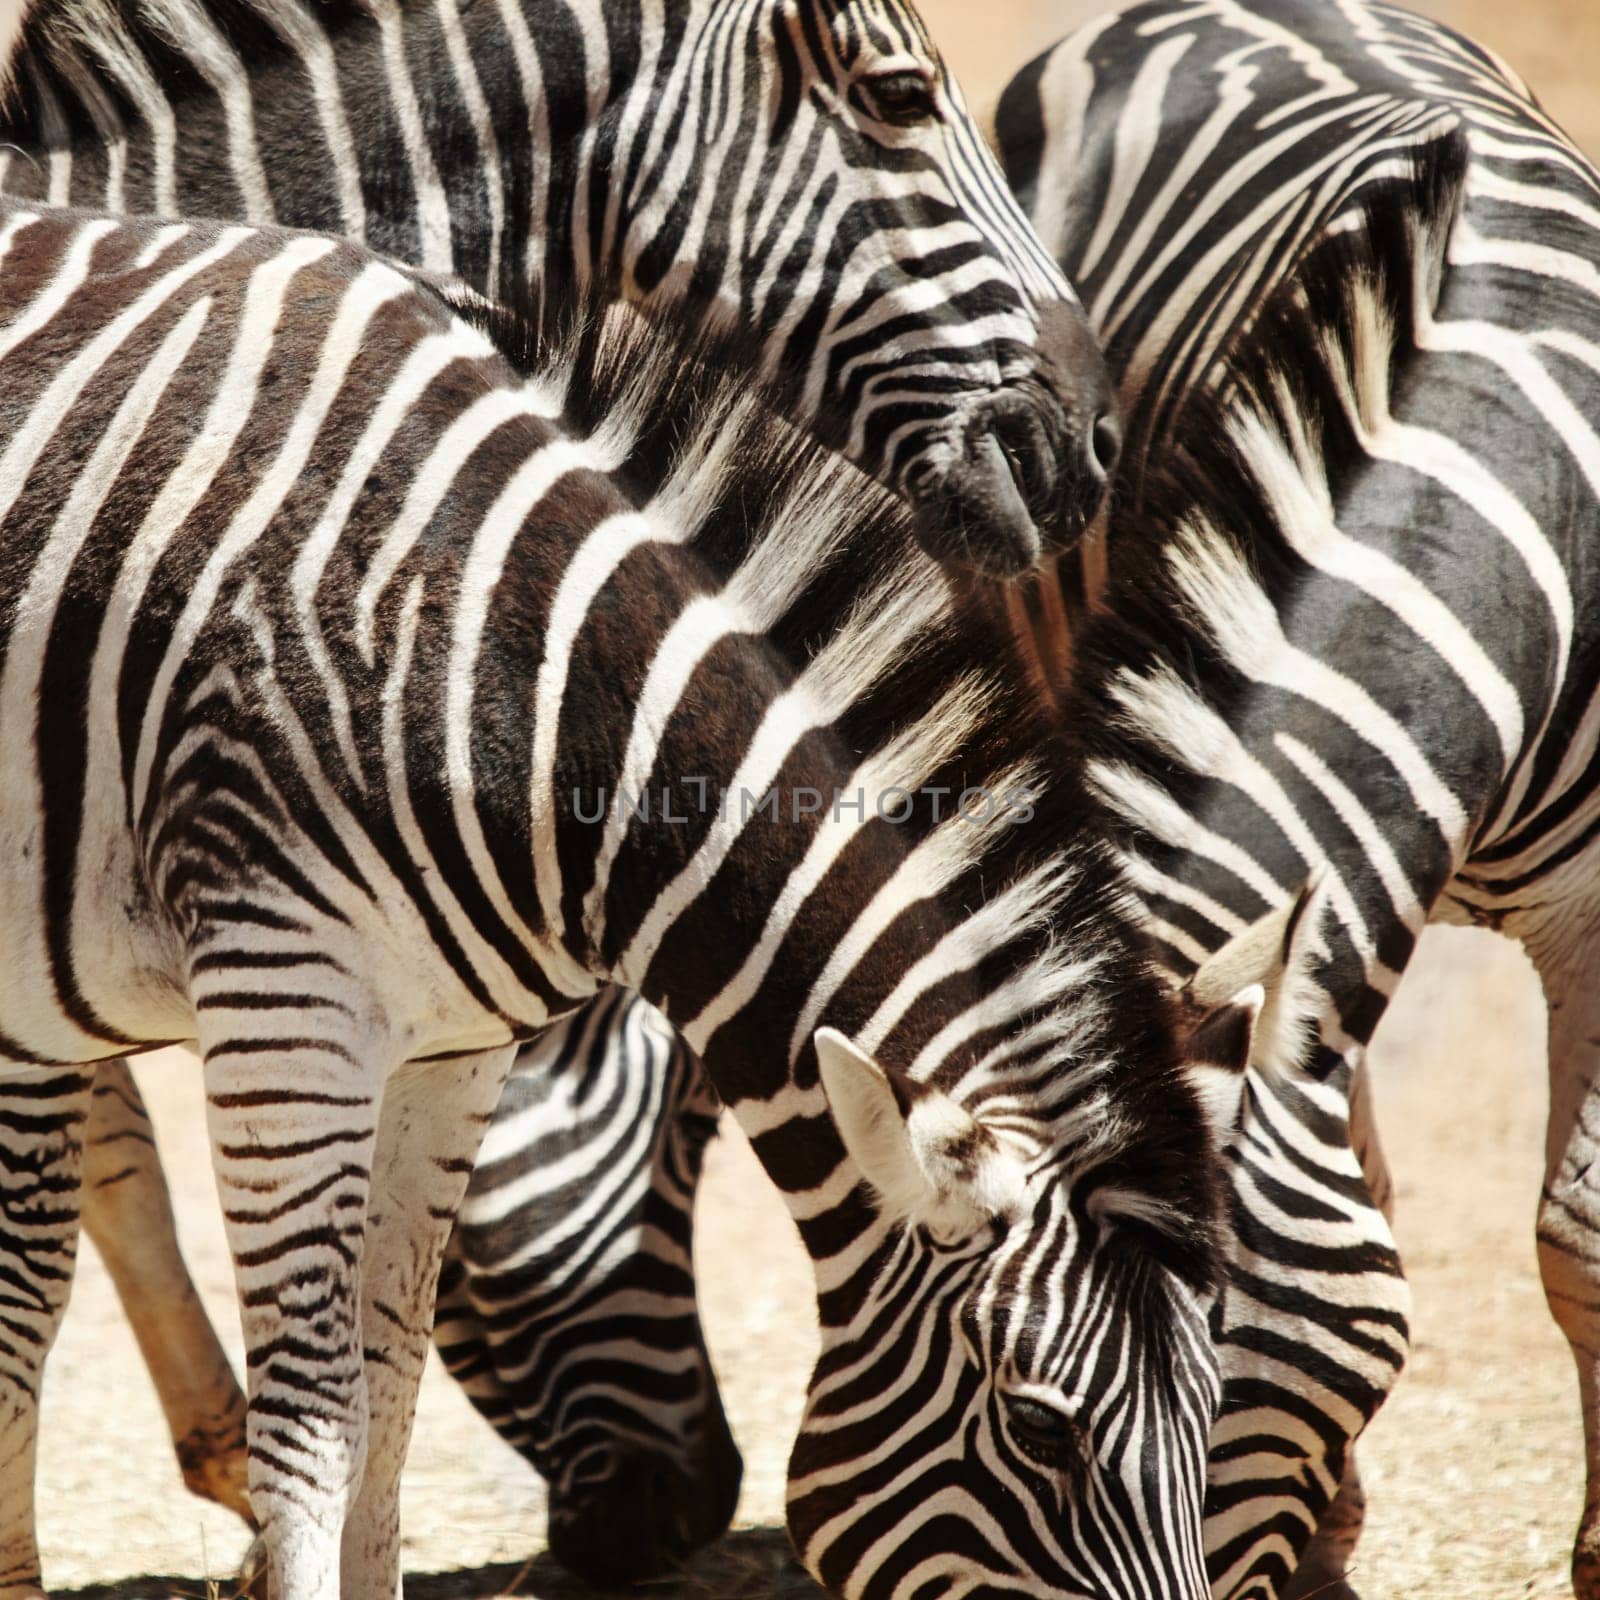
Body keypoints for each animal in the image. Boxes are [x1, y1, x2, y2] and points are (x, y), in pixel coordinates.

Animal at [0, 196, 1273, 1600]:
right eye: (1042, 1431)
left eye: (1215, 1403)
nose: (666, 1521)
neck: (517, 678)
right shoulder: (286, 1008)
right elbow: (310, 1431)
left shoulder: (450, 1046)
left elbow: (387, 1389)